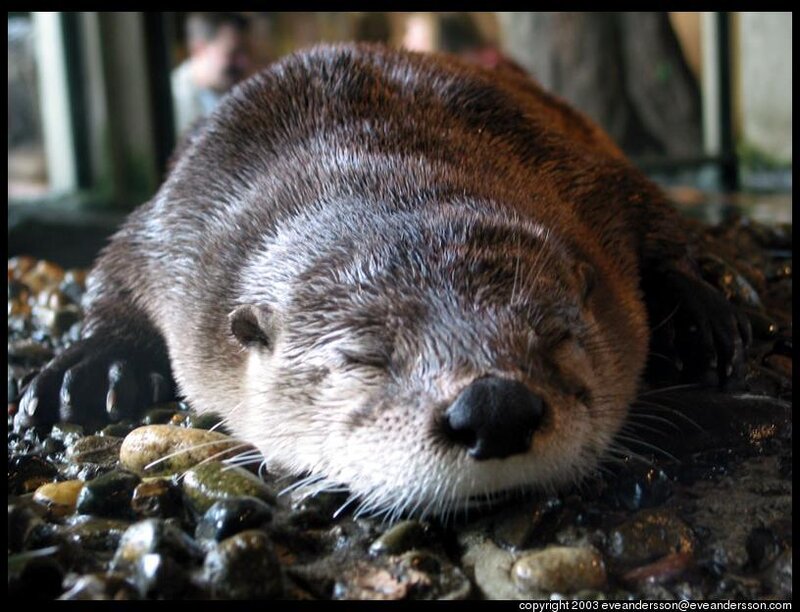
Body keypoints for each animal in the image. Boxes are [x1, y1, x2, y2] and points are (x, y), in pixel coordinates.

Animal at [17, 45, 750, 518]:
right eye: (362, 359)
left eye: (557, 336)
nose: (494, 407)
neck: (360, 148)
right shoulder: (177, 225)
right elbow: (113, 270)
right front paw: (93, 365)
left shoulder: (583, 174)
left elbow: (654, 219)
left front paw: (698, 316)